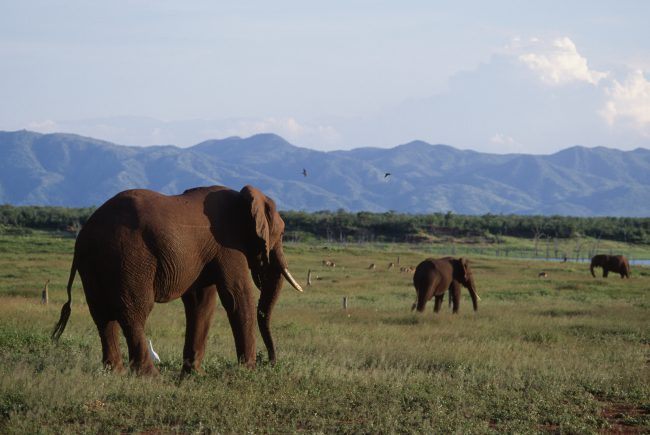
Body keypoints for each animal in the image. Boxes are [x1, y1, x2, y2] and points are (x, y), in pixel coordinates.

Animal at [51, 185, 303, 376]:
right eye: (282, 234)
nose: (269, 361)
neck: (244, 198)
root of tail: (84, 235)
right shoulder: (228, 246)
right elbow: (236, 296)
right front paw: (247, 372)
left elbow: (201, 302)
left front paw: (194, 375)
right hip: (129, 257)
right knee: (134, 312)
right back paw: (150, 377)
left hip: (96, 265)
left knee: (102, 317)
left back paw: (114, 373)